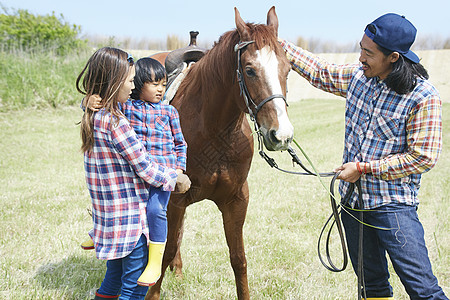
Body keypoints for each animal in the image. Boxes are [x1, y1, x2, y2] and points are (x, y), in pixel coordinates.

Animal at [146, 5, 294, 298]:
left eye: (288, 68)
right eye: (249, 70)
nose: (281, 135)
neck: (215, 131)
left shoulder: (236, 200)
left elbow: (238, 258)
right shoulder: (176, 199)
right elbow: (165, 250)